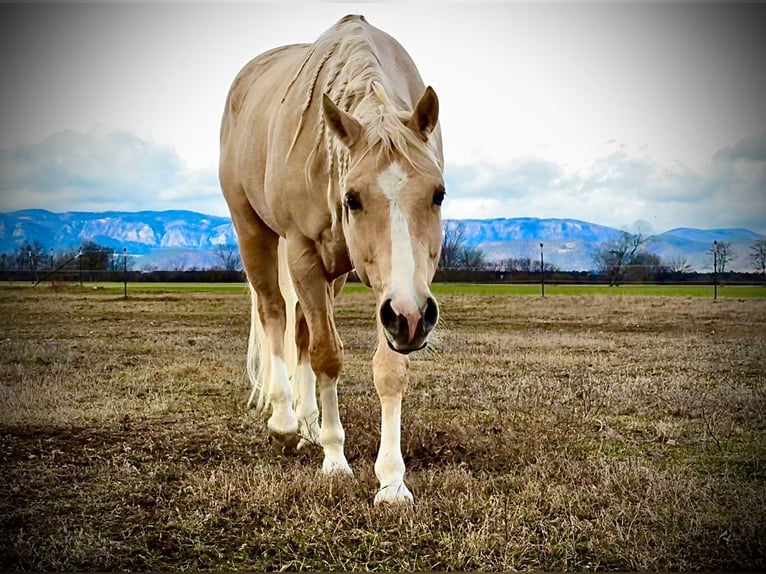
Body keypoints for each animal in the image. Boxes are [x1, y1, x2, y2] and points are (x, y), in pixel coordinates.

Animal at [218, 13, 444, 506]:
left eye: (438, 194)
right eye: (352, 198)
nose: (413, 317)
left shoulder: (392, 291)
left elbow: (389, 369)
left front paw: (391, 480)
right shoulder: (303, 251)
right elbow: (327, 356)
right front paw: (335, 459)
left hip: (335, 276)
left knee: (301, 330)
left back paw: (307, 424)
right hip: (254, 233)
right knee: (275, 313)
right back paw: (285, 424)